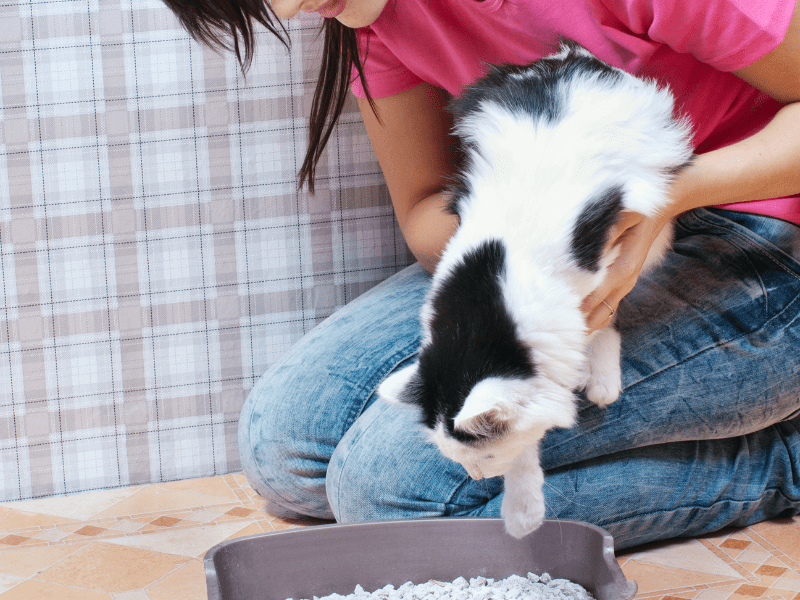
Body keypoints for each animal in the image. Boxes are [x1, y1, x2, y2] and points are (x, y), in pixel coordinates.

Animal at [376, 42, 692, 540]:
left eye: (483, 455)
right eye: (458, 459)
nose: (474, 477)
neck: (481, 307)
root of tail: (568, 59)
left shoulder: (595, 276)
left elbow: (603, 323)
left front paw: (600, 379)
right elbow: (529, 444)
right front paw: (524, 513)